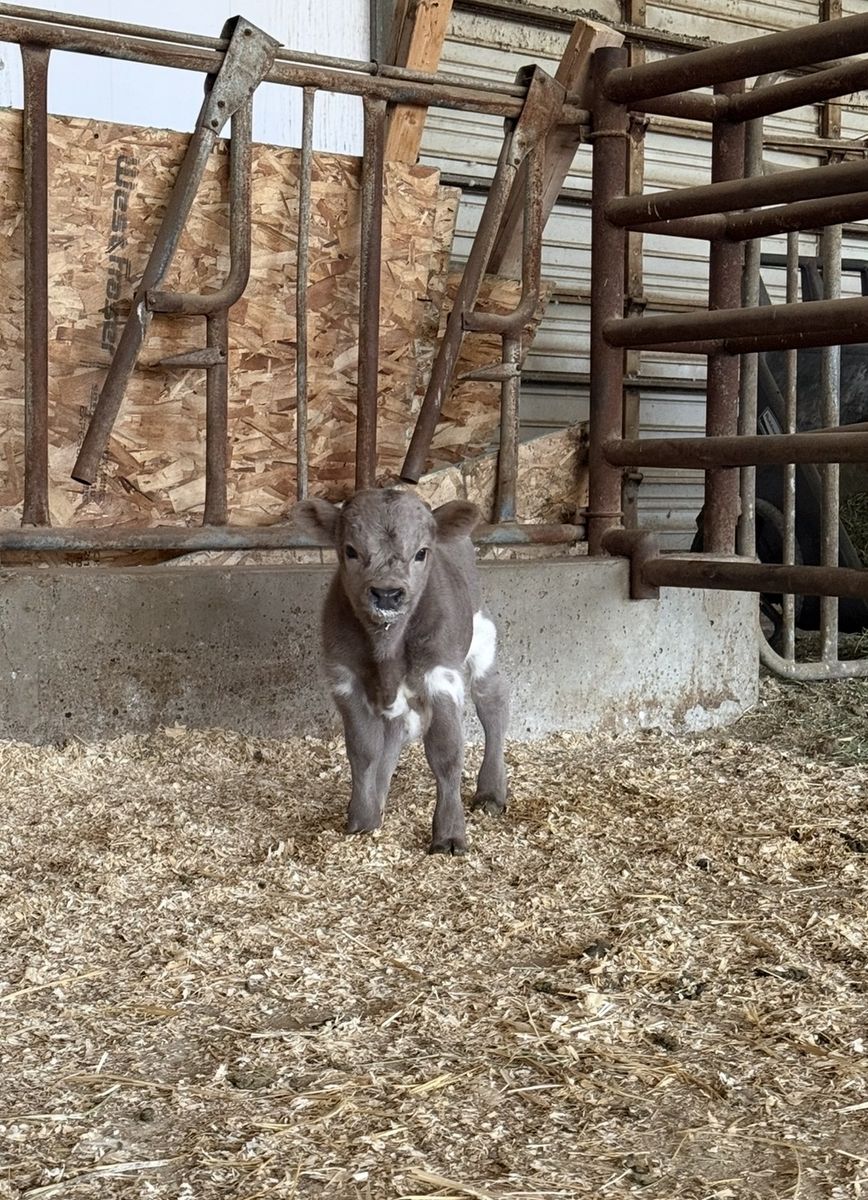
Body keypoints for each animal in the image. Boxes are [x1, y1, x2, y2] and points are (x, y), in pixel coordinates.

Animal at [292, 488, 509, 855]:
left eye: (421, 552)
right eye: (351, 550)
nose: (387, 594)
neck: (387, 648)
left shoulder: (440, 673)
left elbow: (446, 751)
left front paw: (450, 834)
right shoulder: (345, 677)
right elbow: (363, 750)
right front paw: (363, 818)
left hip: (481, 633)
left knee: (492, 701)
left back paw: (491, 792)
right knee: (395, 730)